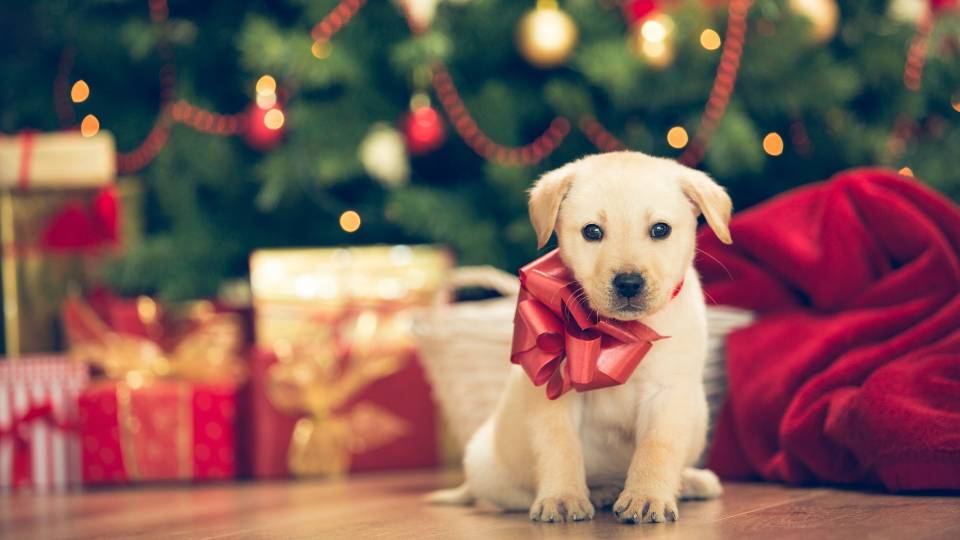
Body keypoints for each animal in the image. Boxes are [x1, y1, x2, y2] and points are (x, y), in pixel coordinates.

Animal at [432, 151, 732, 524]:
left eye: (660, 229)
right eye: (592, 231)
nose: (629, 283)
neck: (619, 331)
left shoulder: (668, 395)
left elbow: (657, 449)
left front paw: (647, 495)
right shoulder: (554, 393)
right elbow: (560, 447)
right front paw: (563, 497)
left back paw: (690, 481)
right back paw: (600, 491)